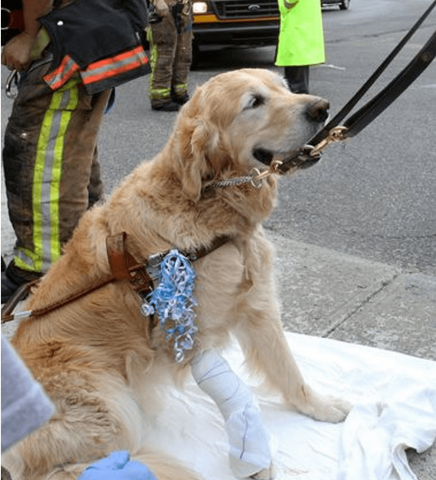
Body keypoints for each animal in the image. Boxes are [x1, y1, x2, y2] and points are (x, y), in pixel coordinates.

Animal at [2, 68, 350, 480]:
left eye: (283, 87)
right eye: (254, 102)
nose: (322, 108)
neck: (207, 202)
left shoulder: (258, 305)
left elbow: (288, 368)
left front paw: (320, 407)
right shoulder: (190, 334)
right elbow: (239, 391)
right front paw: (253, 461)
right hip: (113, 407)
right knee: (61, 469)